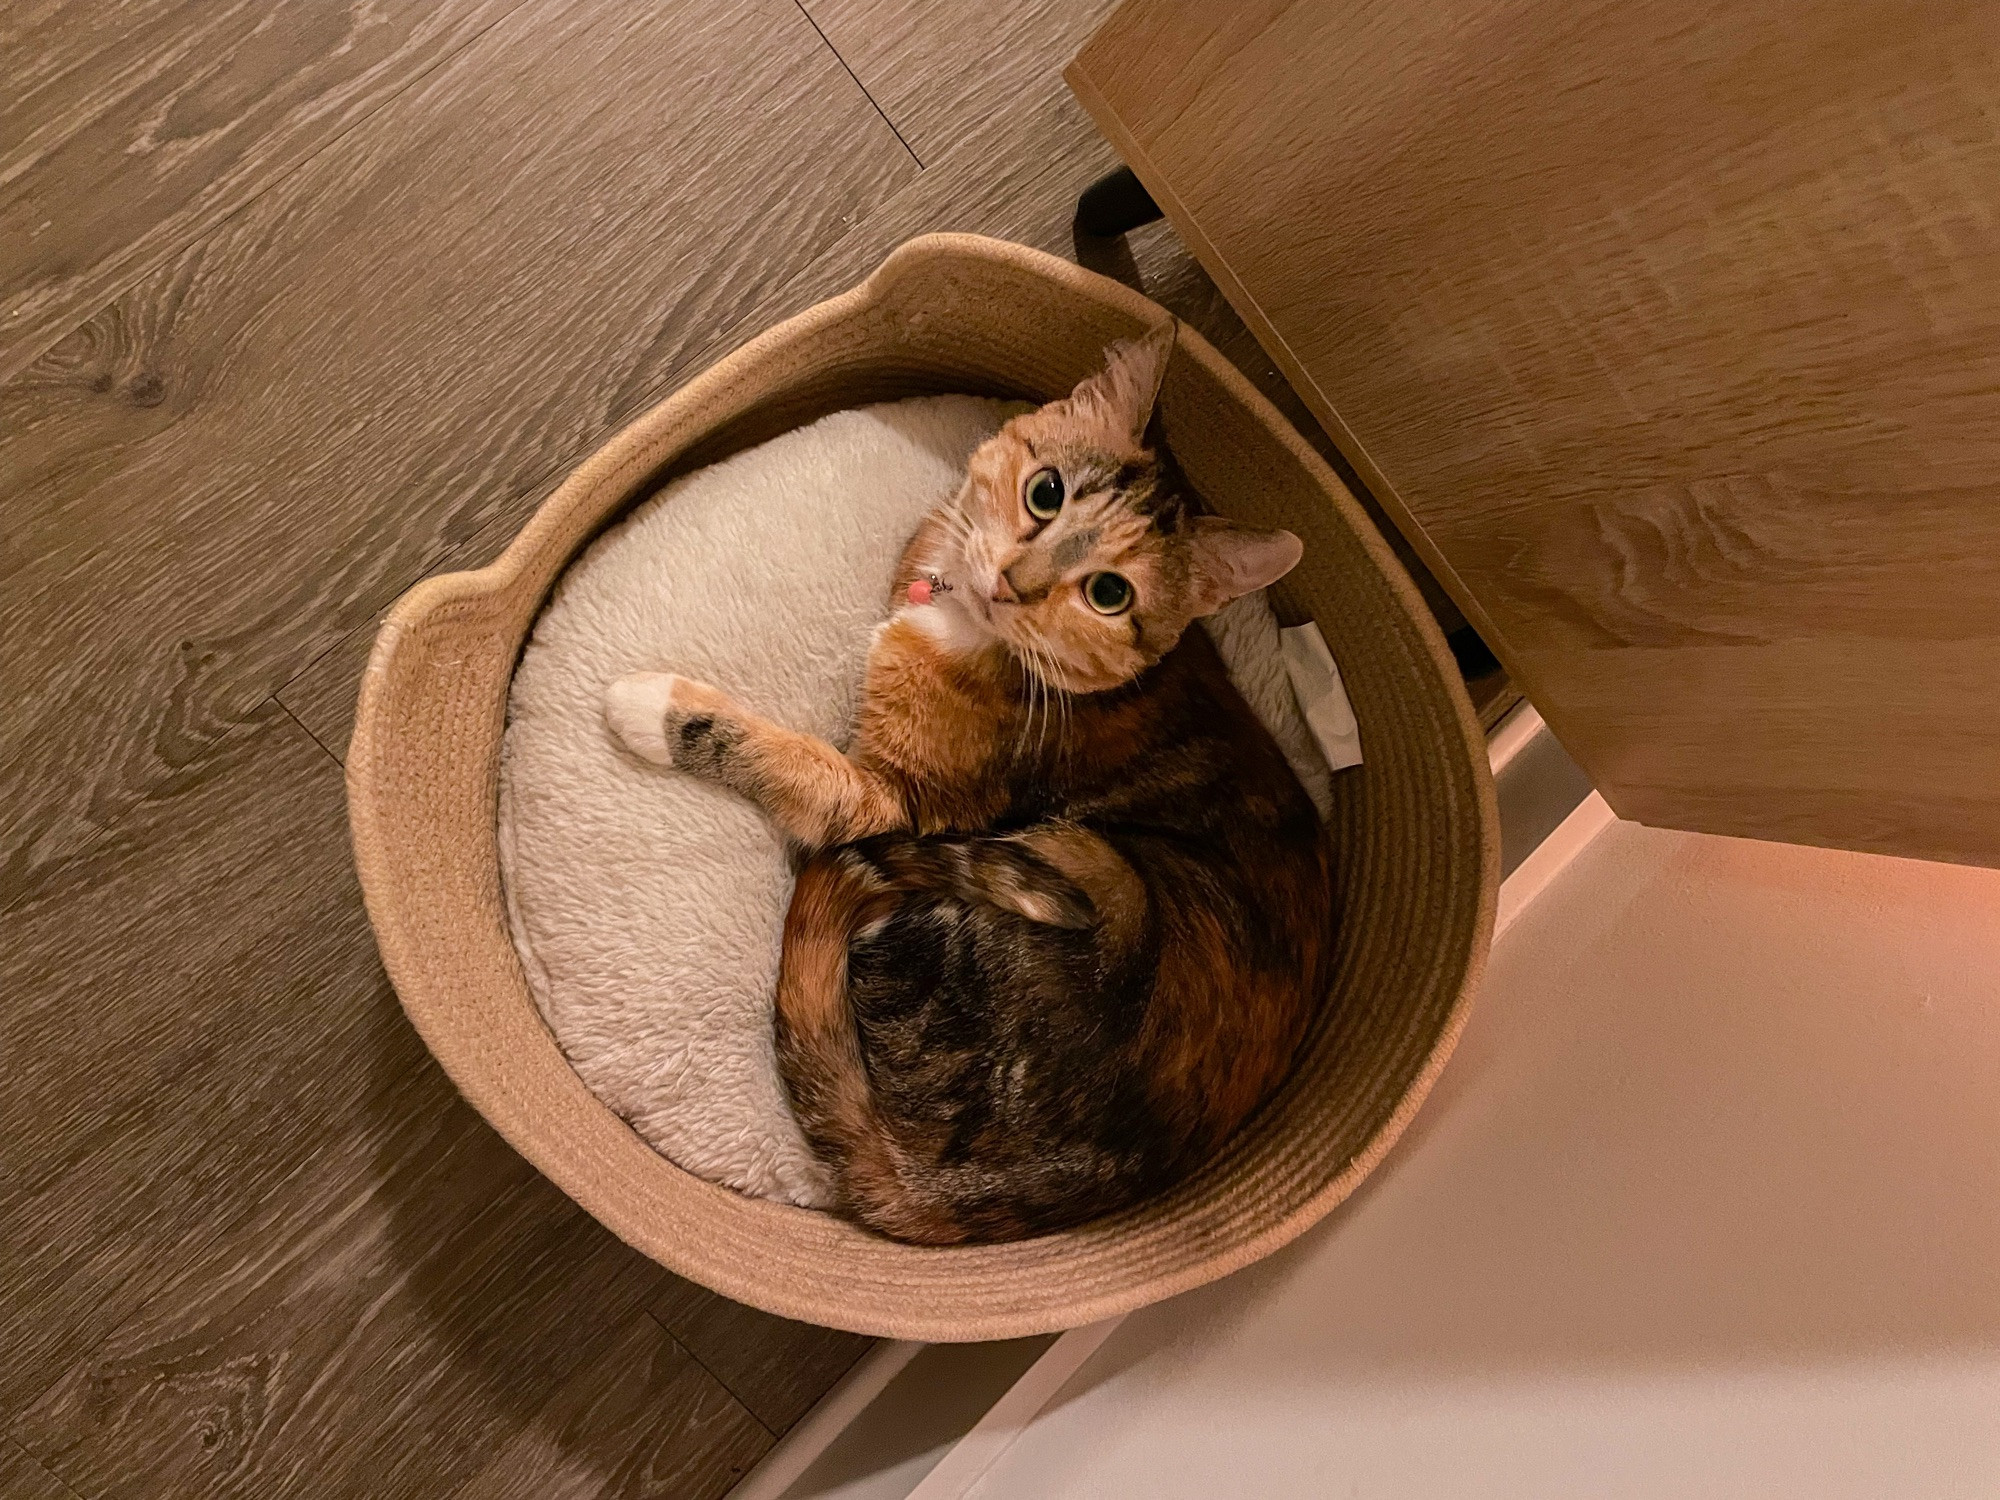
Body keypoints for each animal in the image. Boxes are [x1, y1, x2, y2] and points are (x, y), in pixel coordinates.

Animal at [600, 324, 1336, 1248]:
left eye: (1109, 593)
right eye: (1046, 492)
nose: (1013, 583)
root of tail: (933, 1190)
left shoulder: (892, 800)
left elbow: (793, 763)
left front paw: (650, 706)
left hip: (1070, 872)